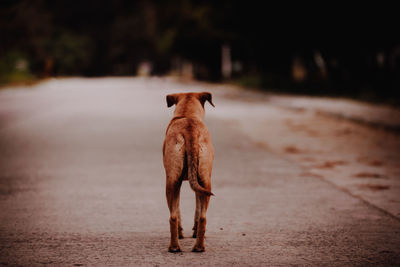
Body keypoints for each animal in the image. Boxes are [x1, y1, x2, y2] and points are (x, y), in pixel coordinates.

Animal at [162, 92, 214, 253]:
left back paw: (174, 246)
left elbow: (178, 209)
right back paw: (199, 246)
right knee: (203, 217)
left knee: (173, 216)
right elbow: (197, 209)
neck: (187, 115)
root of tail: (189, 129)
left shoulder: (178, 182)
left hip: (171, 182)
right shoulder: (197, 184)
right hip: (205, 181)